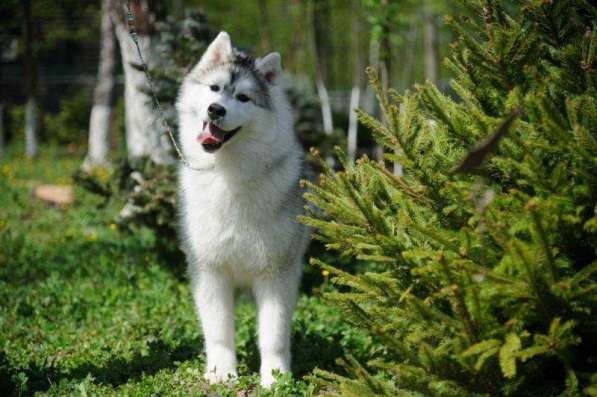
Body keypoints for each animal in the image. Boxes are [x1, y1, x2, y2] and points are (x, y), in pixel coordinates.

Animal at [176, 32, 308, 386]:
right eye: (214, 89)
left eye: (244, 98)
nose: (216, 109)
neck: (229, 174)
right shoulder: (210, 271)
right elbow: (219, 331)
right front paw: (222, 372)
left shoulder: (277, 274)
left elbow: (273, 334)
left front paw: (275, 378)